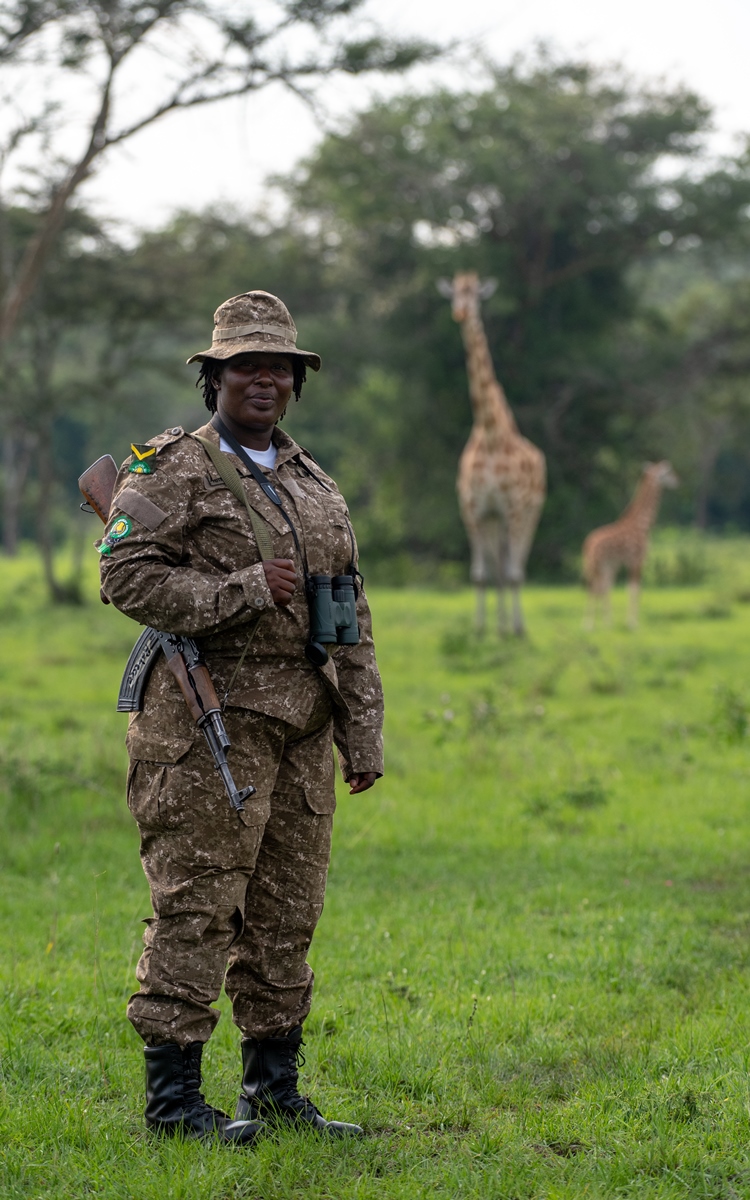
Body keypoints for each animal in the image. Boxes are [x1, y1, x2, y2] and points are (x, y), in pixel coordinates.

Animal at [439, 271, 544, 638]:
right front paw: (480, 631)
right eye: (454, 294)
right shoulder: (474, 509)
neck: (490, 433)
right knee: (499, 566)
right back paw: (500, 627)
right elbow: (481, 575)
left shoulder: (512, 507)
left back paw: (515, 627)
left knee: (517, 567)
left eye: (476, 295)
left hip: (529, 512)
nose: (460, 313)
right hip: (496, 520)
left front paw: (516, 630)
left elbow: (512, 572)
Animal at [578, 456, 676, 628]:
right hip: (597, 563)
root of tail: (587, 545)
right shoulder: (637, 559)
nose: (677, 480)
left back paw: (605, 622)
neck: (642, 525)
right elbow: (635, 589)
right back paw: (589, 625)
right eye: (668, 474)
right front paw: (632, 623)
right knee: (595, 587)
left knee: (601, 587)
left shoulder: (624, 562)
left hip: (601, 564)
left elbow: (628, 588)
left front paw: (626, 622)